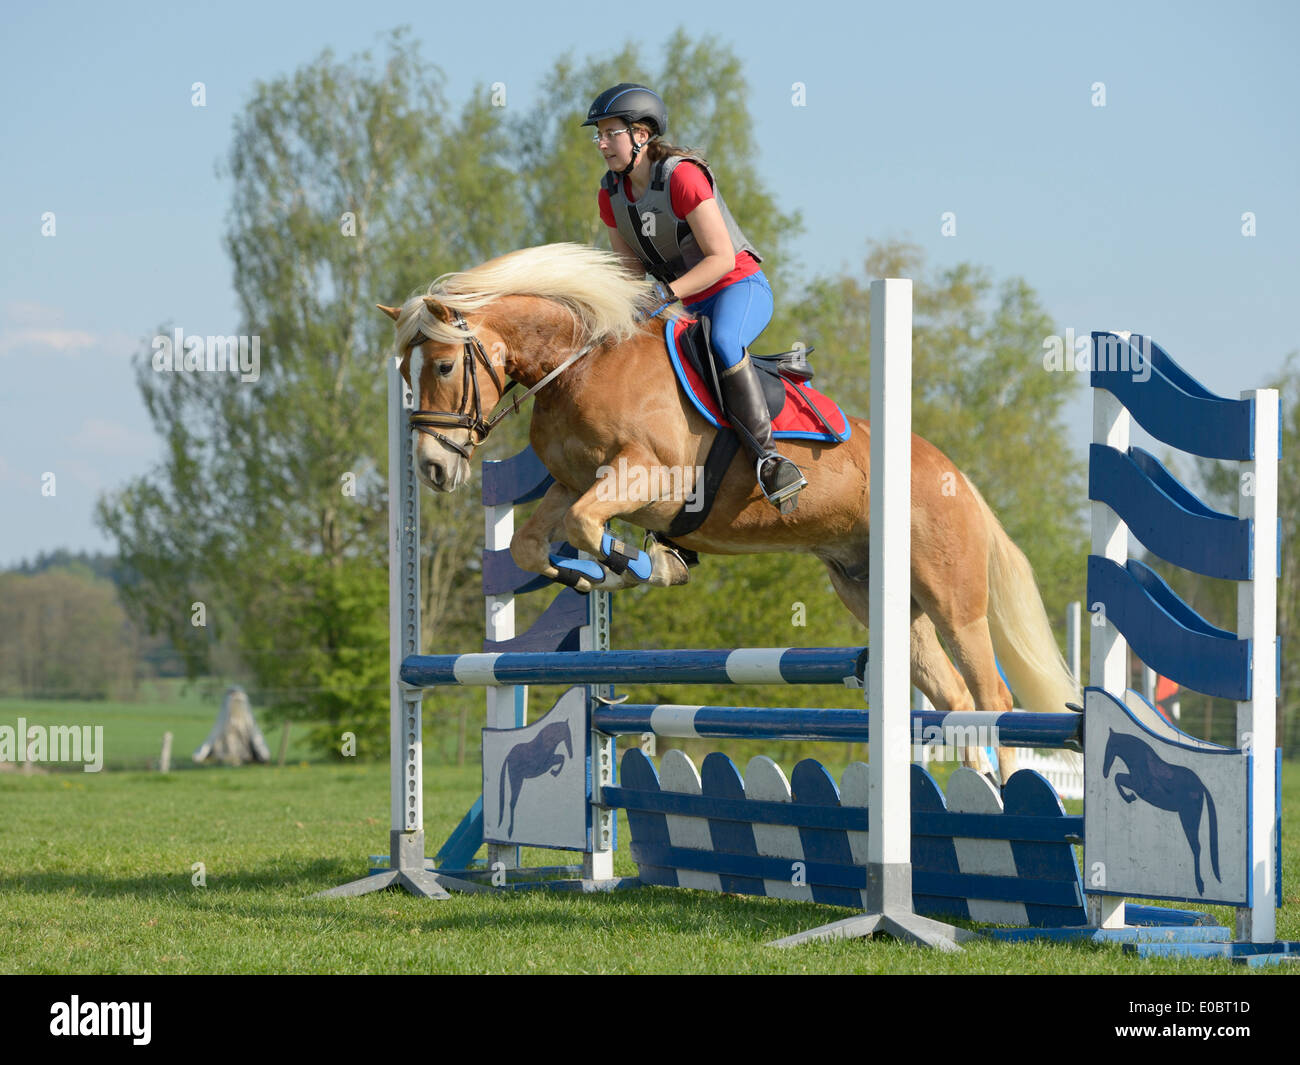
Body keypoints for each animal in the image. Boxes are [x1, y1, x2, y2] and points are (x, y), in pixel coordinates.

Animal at [379, 243, 1079, 780]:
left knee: (992, 695)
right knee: (955, 696)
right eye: (406, 376)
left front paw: (641, 566)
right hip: (879, 599)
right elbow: (531, 543)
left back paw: (1008, 796)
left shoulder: (651, 477)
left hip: (953, 598)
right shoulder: (571, 483)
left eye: (444, 365)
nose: (433, 469)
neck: (580, 362)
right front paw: (587, 575)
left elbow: (586, 524)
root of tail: (953, 474)